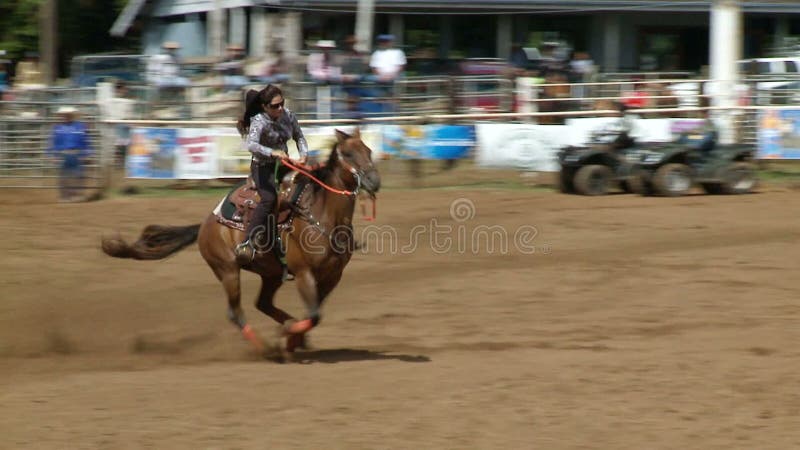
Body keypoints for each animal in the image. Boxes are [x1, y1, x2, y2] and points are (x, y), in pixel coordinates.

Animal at [101, 128, 382, 360]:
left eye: (368, 150)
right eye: (348, 153)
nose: (374, 181)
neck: (322, 215)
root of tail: (205, 224)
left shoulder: (333, 276)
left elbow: (315, 315)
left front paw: (292, 337)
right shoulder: (304, 273)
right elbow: (313, 315)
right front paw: (288, 338)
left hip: (270, 273)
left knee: (263, 304)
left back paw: (287, 333)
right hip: (227, 269)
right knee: (235, 312)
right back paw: (267, 349)